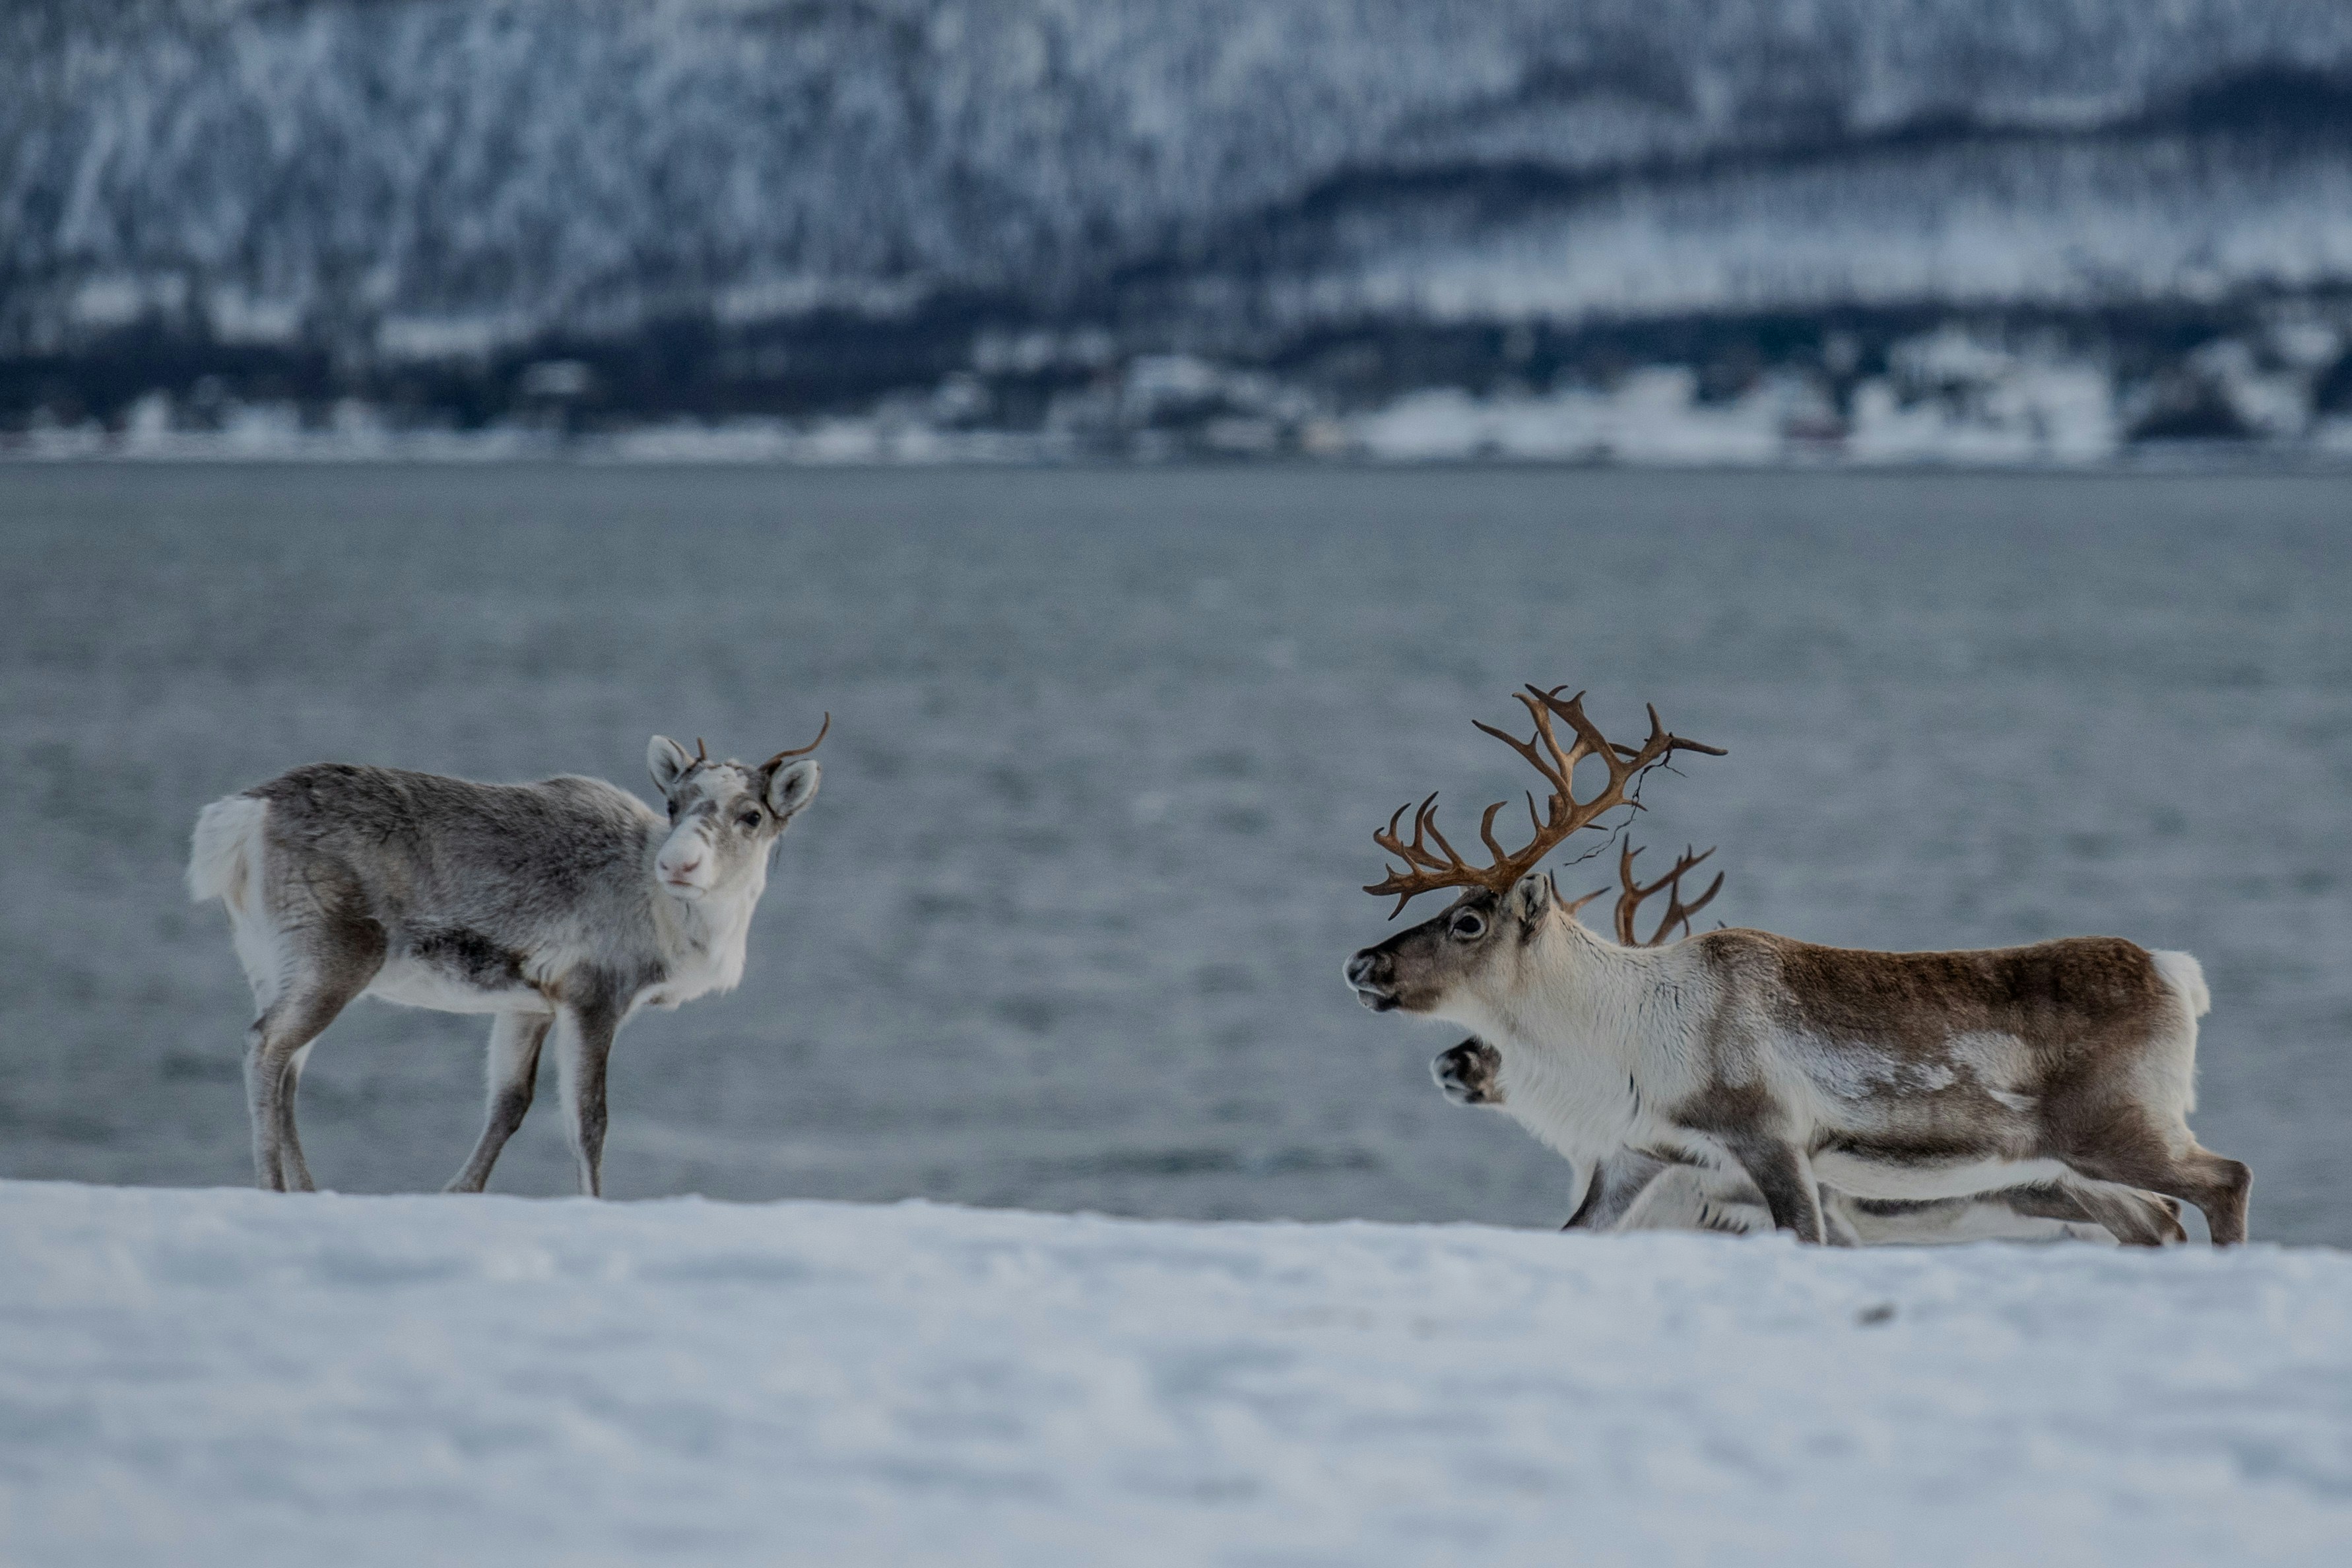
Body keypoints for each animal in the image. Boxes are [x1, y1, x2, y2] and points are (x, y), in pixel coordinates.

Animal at [186, 723, 826, 1196]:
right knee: (266, 1047)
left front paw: (458, 1193)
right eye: (673, 804)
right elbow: (588, 1121)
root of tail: (243, 815)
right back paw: (273, 1188)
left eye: (752, 815)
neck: (664, 910)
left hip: (275, 965)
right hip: (332, 960)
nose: (679, 864)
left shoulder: (528, 1006)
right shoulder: (593, 998)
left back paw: (310, 1189)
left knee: (289, 1071)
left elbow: (509, 1105)